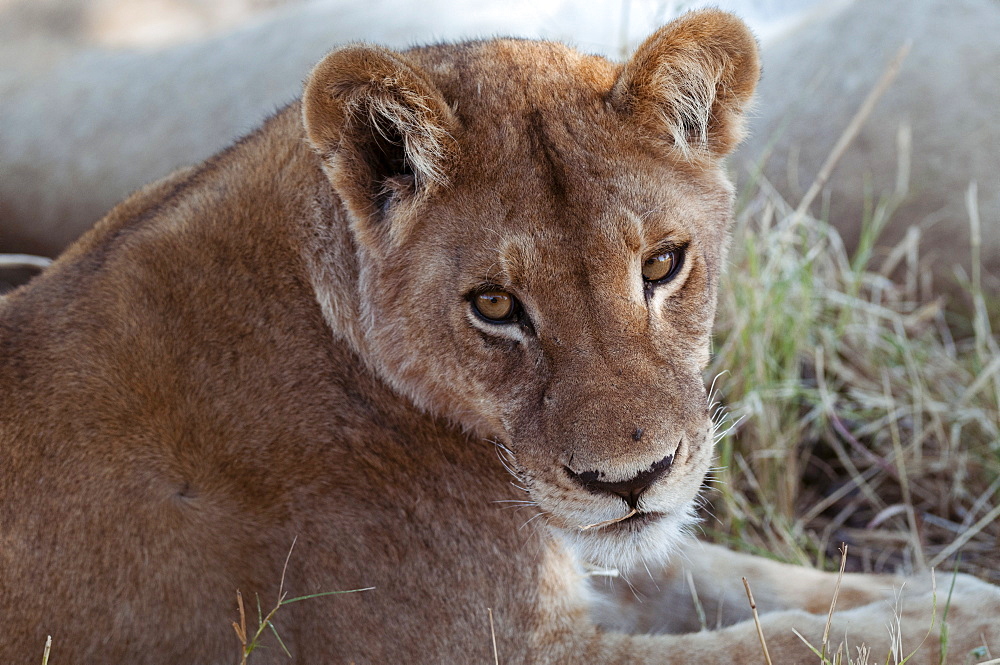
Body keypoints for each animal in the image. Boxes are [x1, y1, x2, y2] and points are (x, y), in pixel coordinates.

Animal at [1, 9, 1000, 660]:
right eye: (493, 306)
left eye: (662, 263)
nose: (630, 479)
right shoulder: (511, 649)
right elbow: (778, 642)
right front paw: (950, 624)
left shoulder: (583, 550)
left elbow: (747, 576)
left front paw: (948, 590)